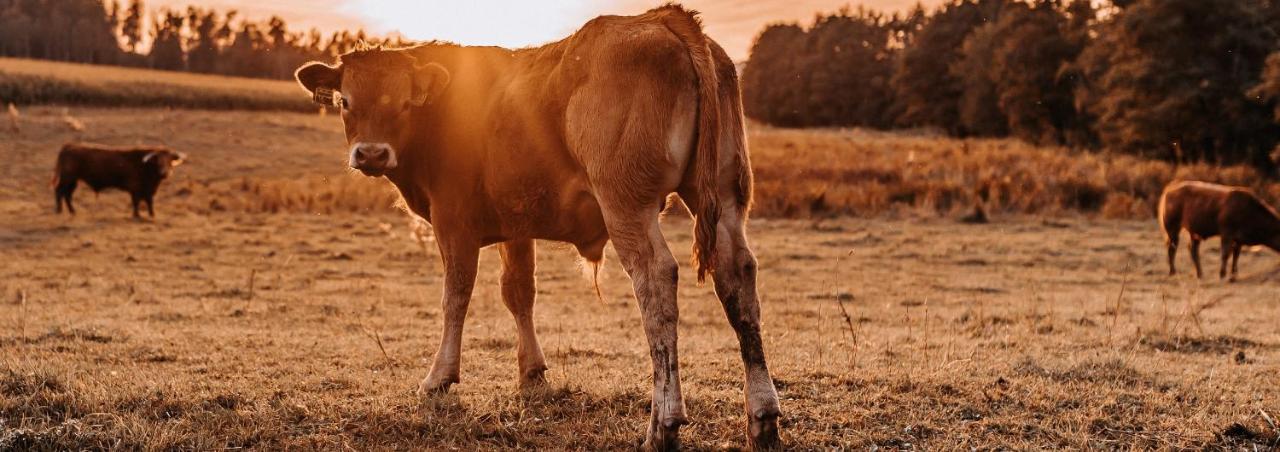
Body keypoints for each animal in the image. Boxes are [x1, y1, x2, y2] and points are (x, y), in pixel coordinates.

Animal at [52, 141, 185, 217]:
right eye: (158, 161)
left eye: (170, 161)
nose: (165, 173)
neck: (144, 166)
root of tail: (69, 146)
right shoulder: (135, 189)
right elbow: (136, 202)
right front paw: (137, 215)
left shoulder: (149, 191)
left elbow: (149, 202)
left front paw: (152, 214)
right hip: (66, 179)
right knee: (59, 192)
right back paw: (59, 211)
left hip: (73, 181)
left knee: (67, 195)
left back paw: (72, 211)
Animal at [293, 5, 778, 448]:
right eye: (345, 101)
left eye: (402, 102)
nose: (371, 153)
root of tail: (661, 19)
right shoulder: (517, 223)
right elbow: (519, 292)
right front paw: (531, 370)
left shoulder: (453, 222)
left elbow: (456, 297)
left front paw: (439, 376)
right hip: (726, 198)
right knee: (738, 278)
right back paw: (763, 417)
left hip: (627, 205)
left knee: (656, 282)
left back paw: (664, 423)